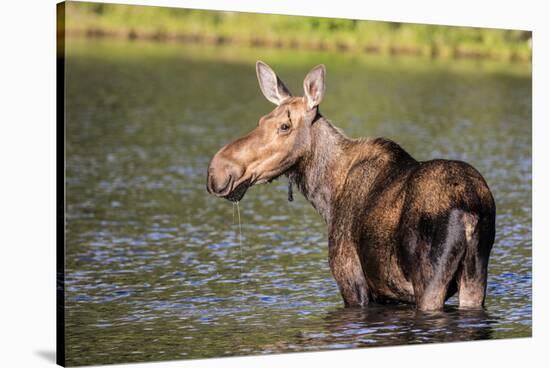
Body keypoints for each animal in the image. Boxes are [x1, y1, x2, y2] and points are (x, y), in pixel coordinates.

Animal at [206, 61, 496, 310]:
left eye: (285, 126)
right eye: (261, 120)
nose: (217, 170)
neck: (326, 196)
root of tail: (470, 211)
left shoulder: (351, 281)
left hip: (429, 282)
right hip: (475, 278)